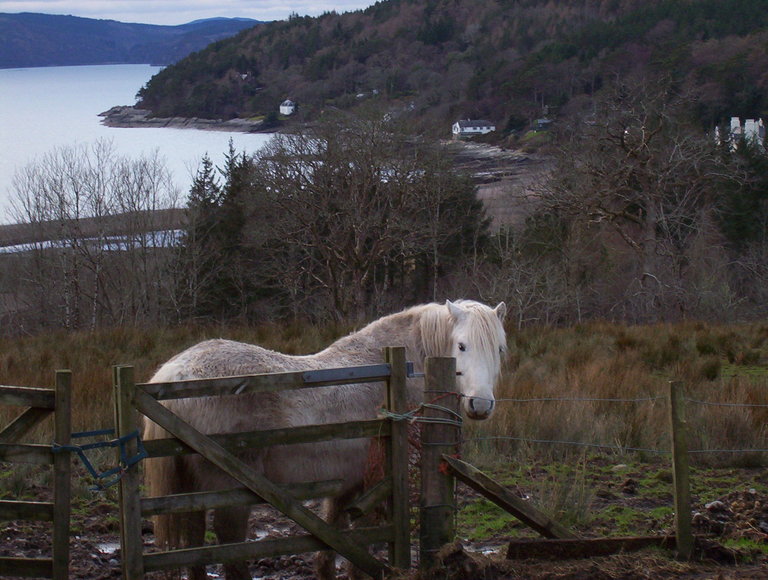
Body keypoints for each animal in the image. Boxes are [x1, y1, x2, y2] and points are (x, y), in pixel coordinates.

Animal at [142, 302, 508, 576]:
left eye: (499, 349)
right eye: (461, 346)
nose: (480, 404)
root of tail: (174, 375)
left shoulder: (346, 484)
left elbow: (333, 540)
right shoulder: (377, 484)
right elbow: (364, 543)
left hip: (191, 491)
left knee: (193, 545)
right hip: (229, 491)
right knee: (227, 543)